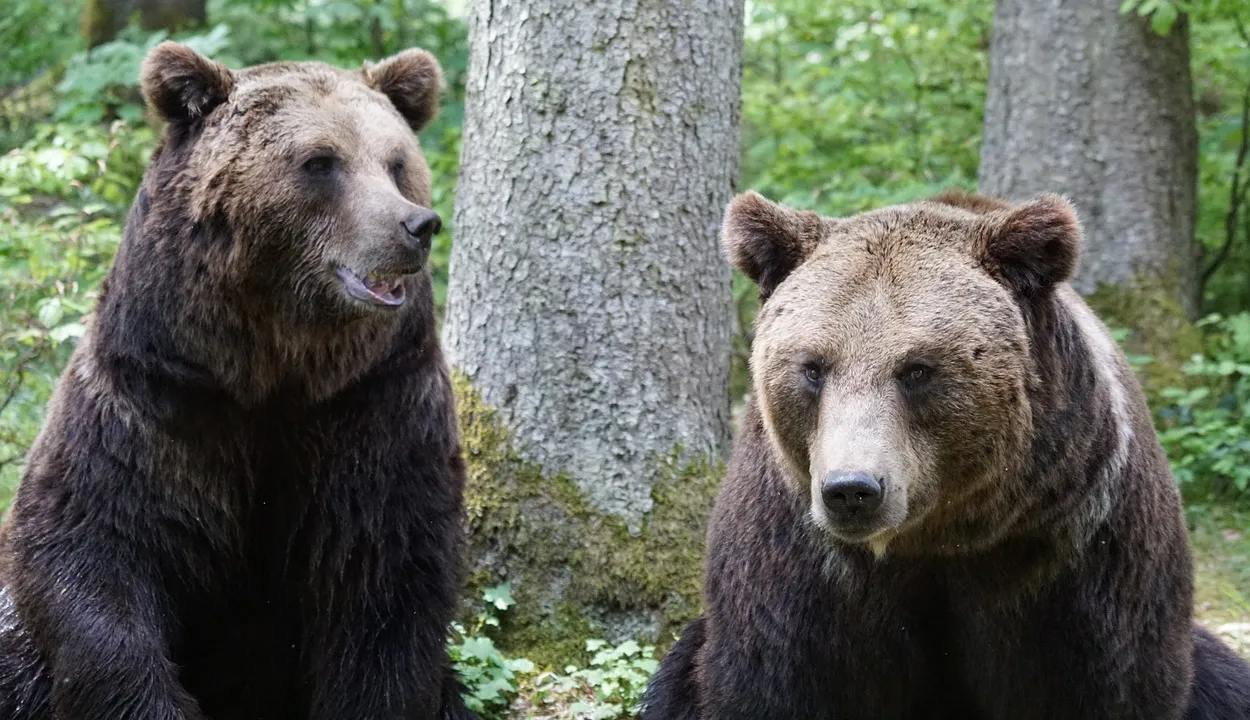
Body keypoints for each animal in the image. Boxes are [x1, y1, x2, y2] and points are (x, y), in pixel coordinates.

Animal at [0, 43, 475, 720]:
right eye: (321, 161)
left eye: (397, 162)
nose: (417, 226)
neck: (271, 367)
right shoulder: (155, 403)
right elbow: (90, 549)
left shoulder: (375, 406)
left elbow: (388, 582)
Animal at [640, 188, 1250, 715]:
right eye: (813, 366)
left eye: (917, 369)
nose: (852, 491)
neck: (938, 537)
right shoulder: (799, 556)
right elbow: (777, 679)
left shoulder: (1074, 542)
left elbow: (1102, 681)